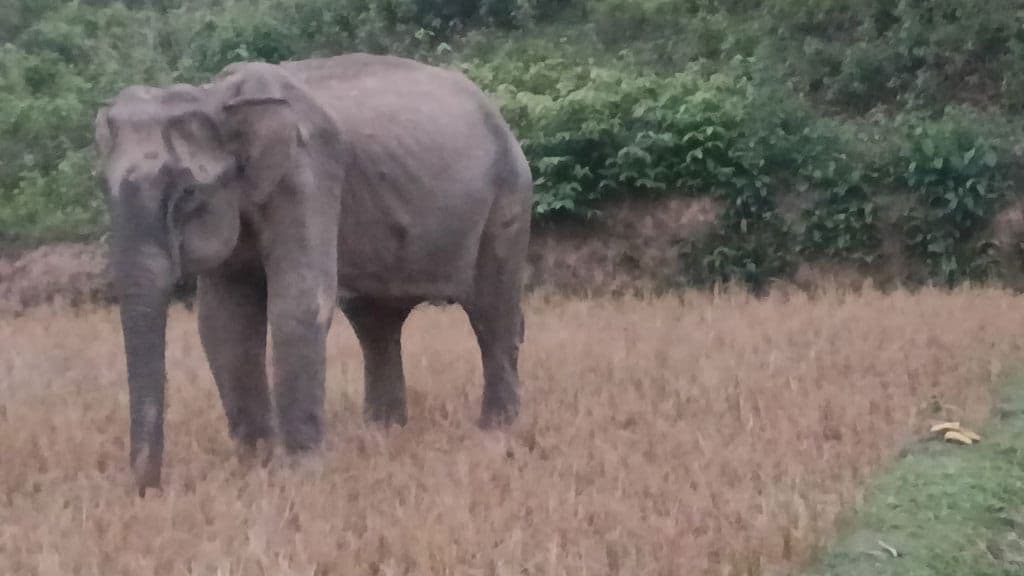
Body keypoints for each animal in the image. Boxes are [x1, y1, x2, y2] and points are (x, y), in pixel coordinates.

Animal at [93, 53, 534, 495]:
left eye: (188, 193)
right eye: (104, 191)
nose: (148, 490)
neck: (217, 98)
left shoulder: (307, 172)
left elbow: (298, 303)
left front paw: (300, 473)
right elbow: (224, 324)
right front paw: (255, 464)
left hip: (508, 199)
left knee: (491, 312)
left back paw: (495, 430)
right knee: (375, 323)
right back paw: (383, 431)